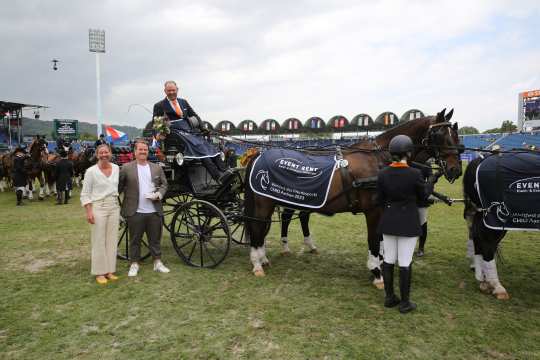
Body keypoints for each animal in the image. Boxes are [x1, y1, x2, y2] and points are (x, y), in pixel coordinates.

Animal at [243, 108, 462, 286]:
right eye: (441, 135)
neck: (378, 158)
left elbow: (380, 240)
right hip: (265, 202)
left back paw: (266, 257)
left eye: (456, 135)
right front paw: (377, 272)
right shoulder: (373, 211)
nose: (456, 170)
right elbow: (373, 240)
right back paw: (257, 263)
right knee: (258, 226)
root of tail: (258, 154)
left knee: (271, 224)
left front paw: (380, 265)